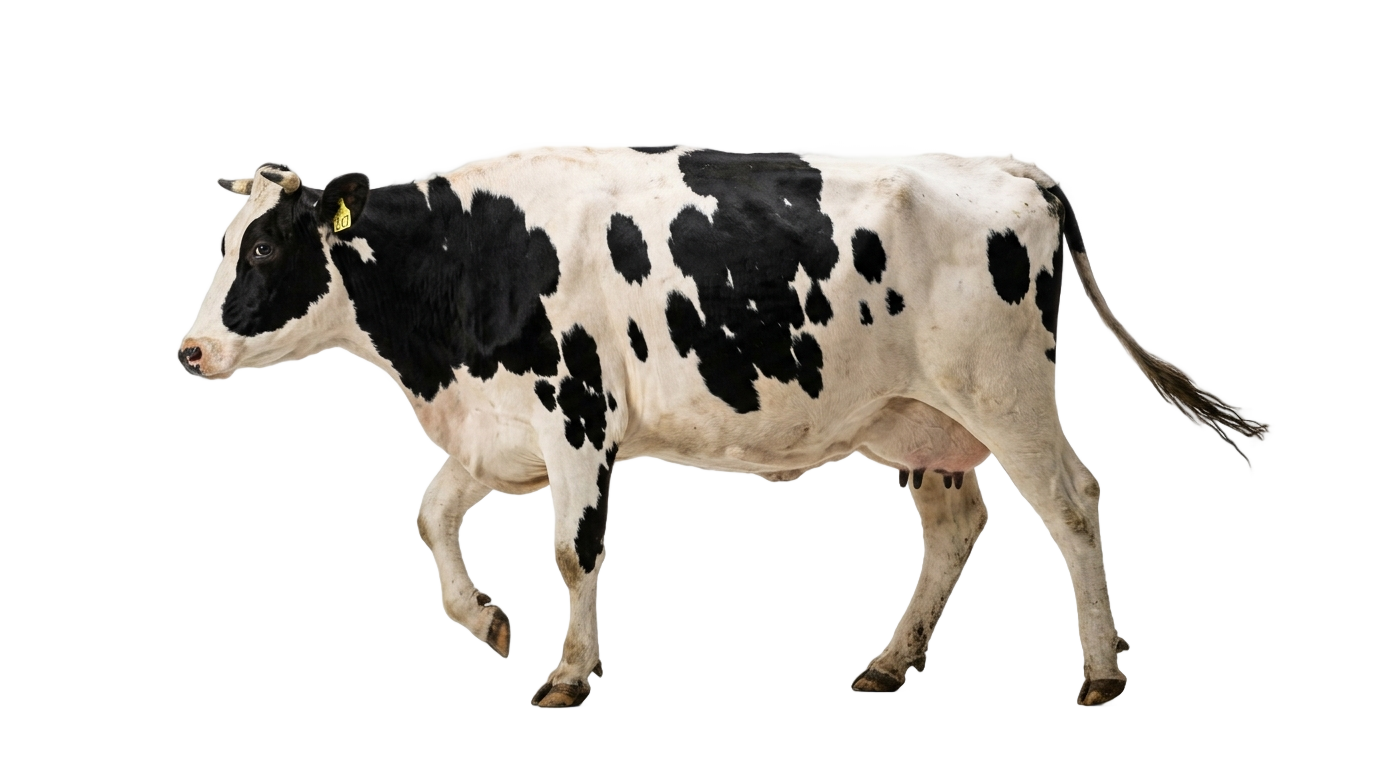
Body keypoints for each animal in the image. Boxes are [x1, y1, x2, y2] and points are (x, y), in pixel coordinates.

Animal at [178, 143, 1264, 708]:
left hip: (1002, 392)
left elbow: (571, 555)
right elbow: (425, 517)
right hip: (922, 419)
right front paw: (482, 616)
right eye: (220, 244)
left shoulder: (578, 416)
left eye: (268, 246)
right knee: (956, 526)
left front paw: (570, 678)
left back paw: (1099, 674)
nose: (187, 352)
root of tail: (1017, 174)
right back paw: (890, 664)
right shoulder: (499, 426)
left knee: (1072, 508)